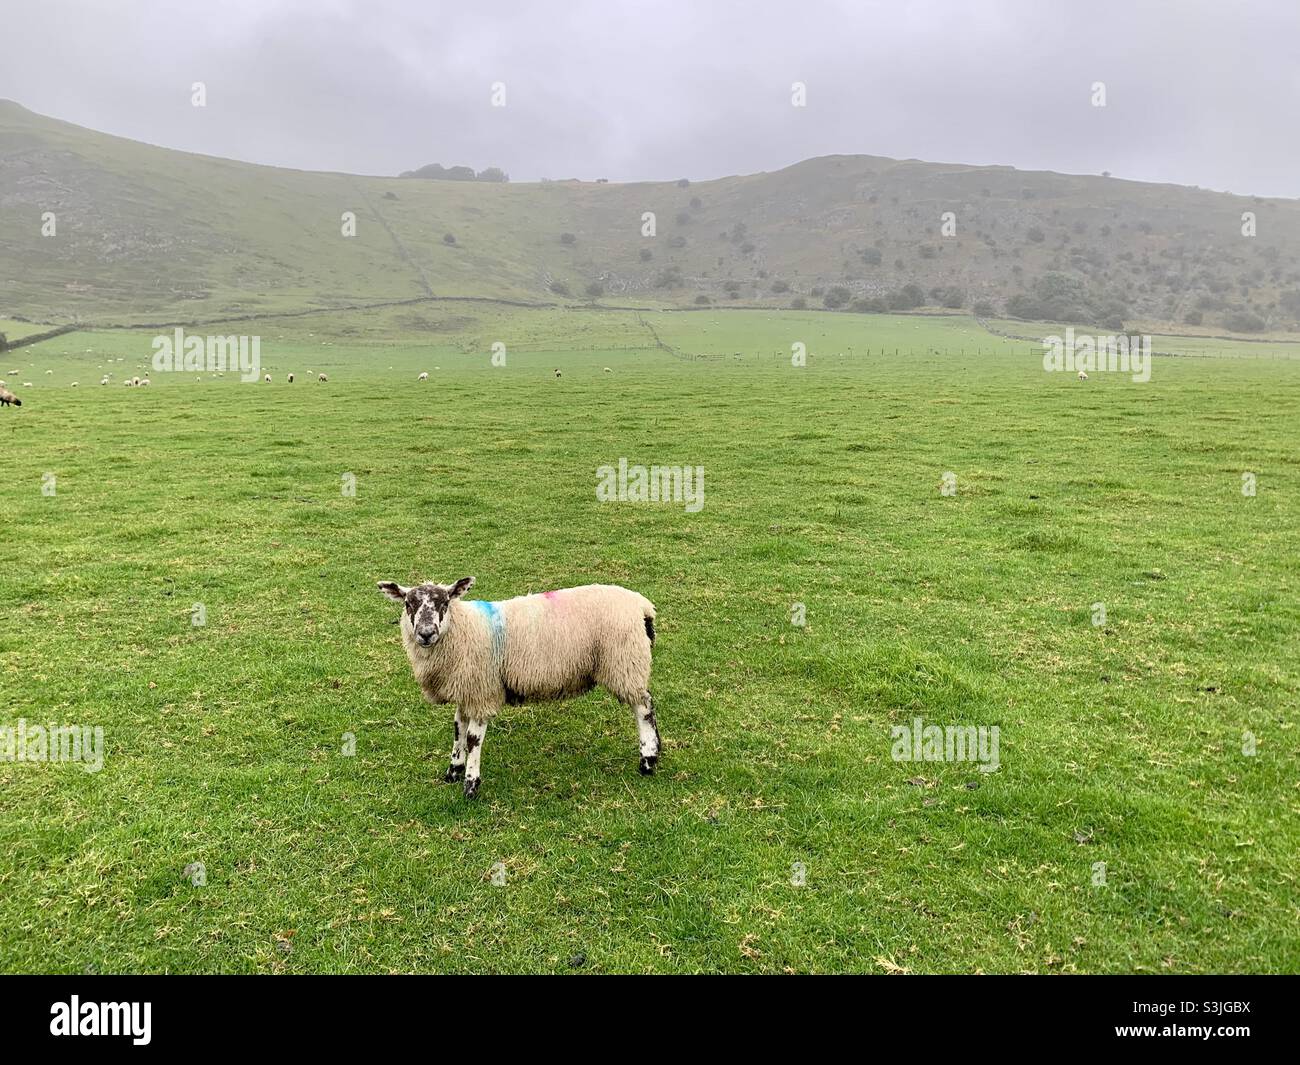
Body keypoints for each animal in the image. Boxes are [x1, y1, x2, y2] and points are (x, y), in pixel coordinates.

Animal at [376, 577, 660, 799]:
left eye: (444, 603)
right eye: (408, 604)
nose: (426, 633)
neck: (464, 629)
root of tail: (642, 606)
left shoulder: (482, 690)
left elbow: (473, 738)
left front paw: (471, 785)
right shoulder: (467, 689)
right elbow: (458, 729)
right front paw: (453, 770)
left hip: (625, 661)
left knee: (644, 707)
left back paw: (648, 759)